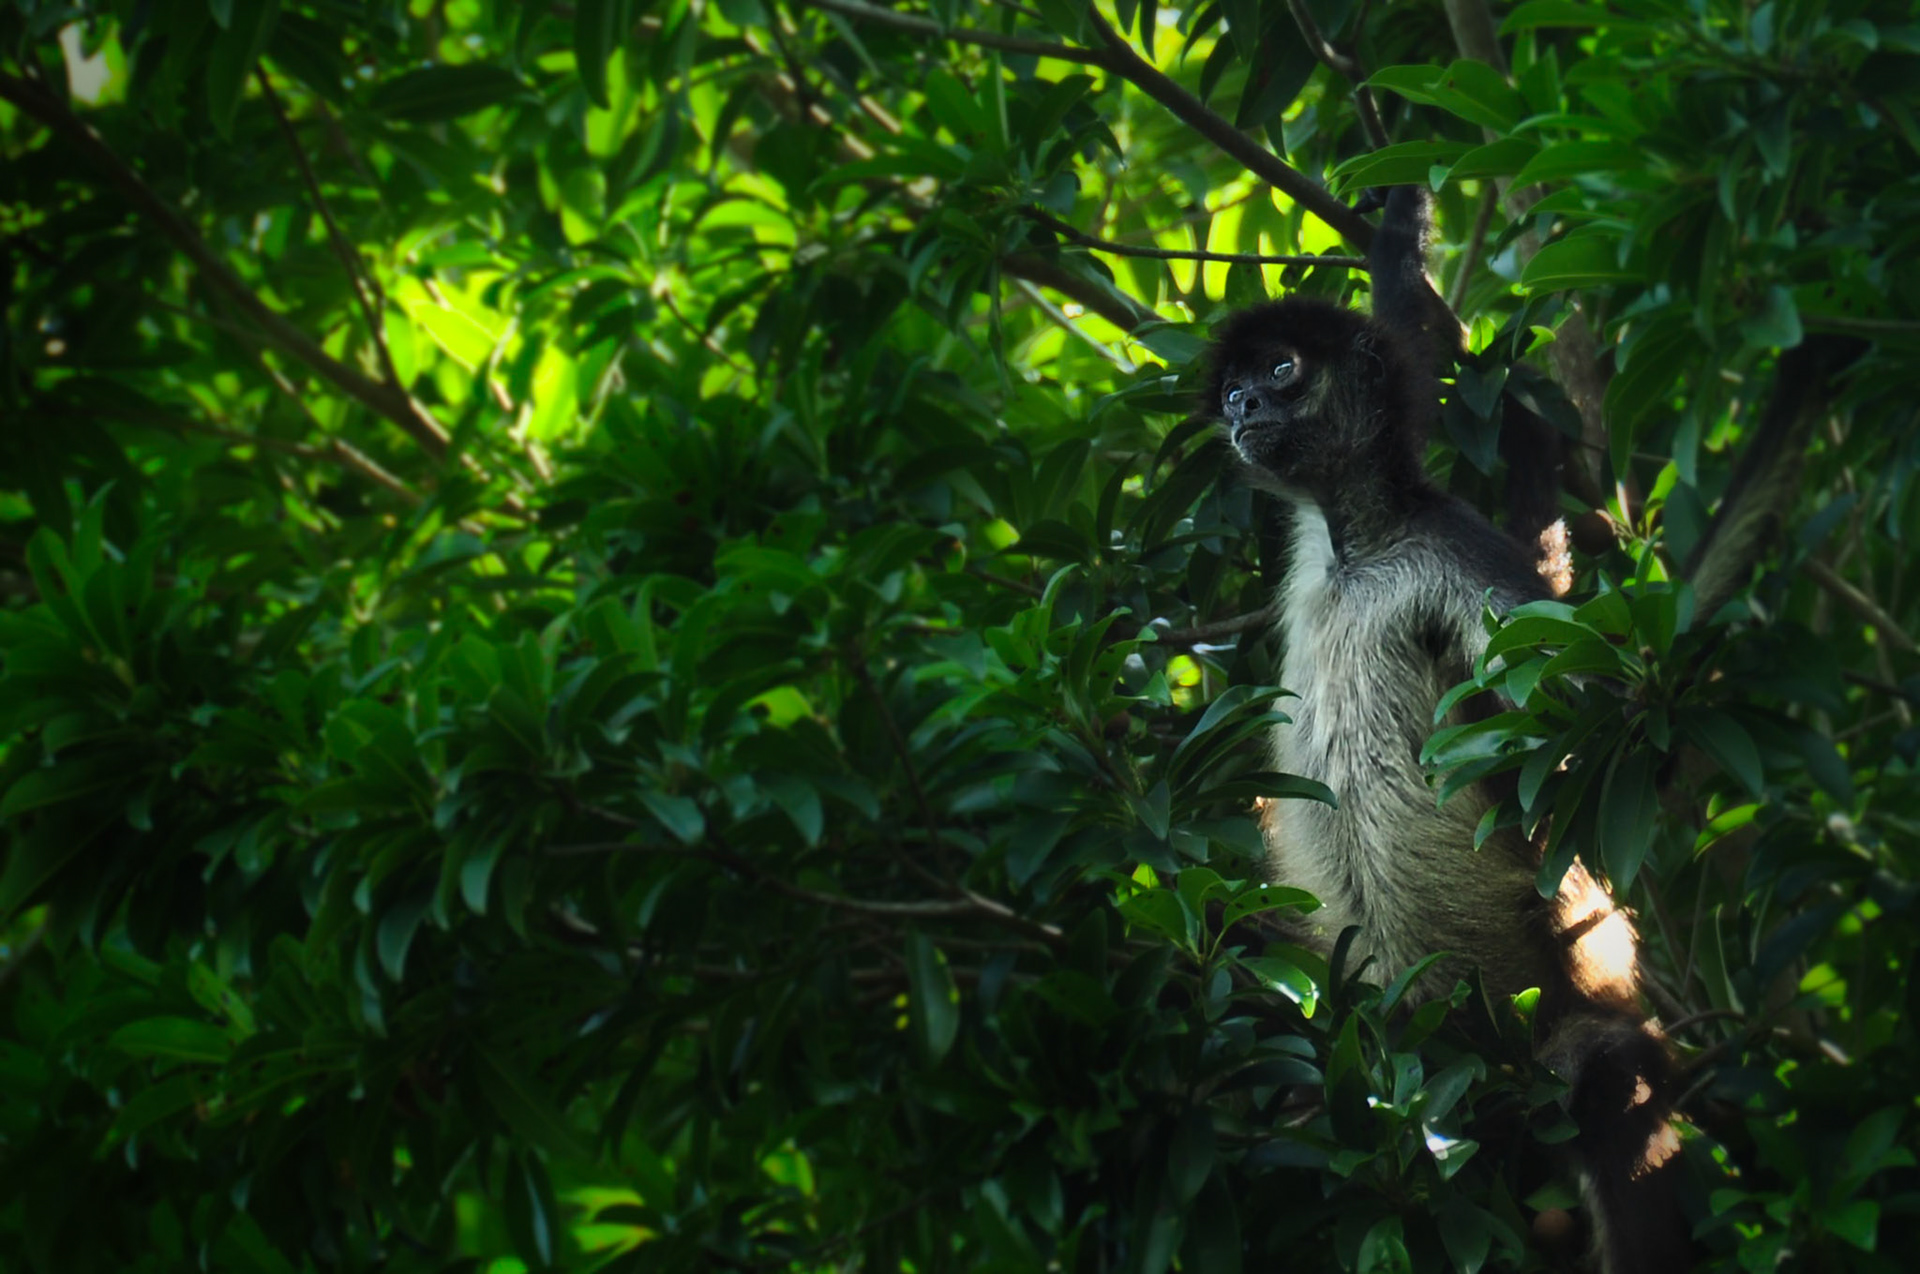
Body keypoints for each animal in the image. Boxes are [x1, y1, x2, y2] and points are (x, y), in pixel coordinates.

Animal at [1207, 186, 1691, 1273]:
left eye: (1281, 371)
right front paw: (1396, 243)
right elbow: (1411, 338)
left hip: (1551, 1018)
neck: (1358, 549)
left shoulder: (1451, 548)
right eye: (1235, 388)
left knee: (1611, 1066)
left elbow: (1621, 737)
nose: (1241, 409)